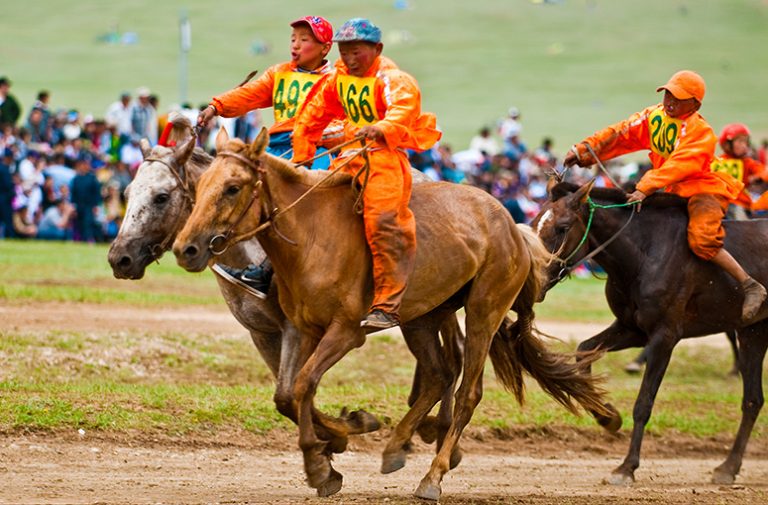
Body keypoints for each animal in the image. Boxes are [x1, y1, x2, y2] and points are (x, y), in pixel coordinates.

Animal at [171, 127, 615, 500]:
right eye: (200, 187)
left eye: (232, 188)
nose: (186, 249)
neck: (312, 236)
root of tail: (512, 224)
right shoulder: (300, 329)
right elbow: (288, 394)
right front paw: (342, 440)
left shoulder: (345, 332)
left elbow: (303, 384)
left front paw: (323, 461)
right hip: (423, 317)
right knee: (439, 374)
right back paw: (396, 445)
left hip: (483, 310)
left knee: (467, 390)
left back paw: (433, 475)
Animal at [531, 180, 768, 486]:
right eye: (535, 223)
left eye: (562, 227)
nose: (535, 276)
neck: (644, 253)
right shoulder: (631, 328)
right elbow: (584, 350)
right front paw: (608, 416)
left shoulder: (664, 336)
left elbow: (643, 403)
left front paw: (626, 467)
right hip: (753, 330)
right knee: (752, 400)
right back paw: (728, 467)